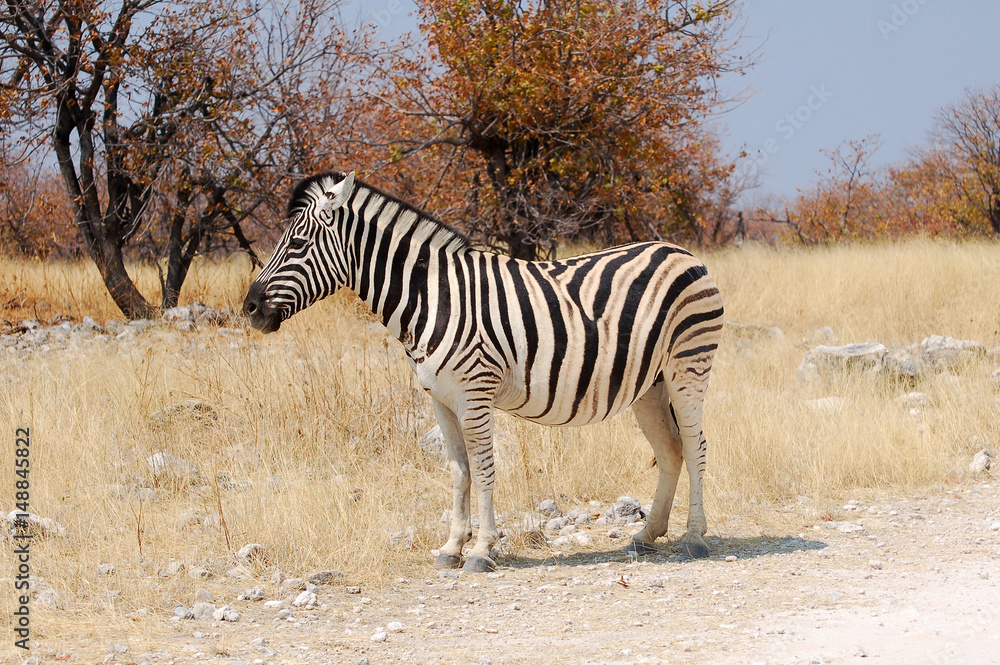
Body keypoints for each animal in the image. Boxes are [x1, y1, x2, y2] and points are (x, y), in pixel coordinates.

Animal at [243, 171, 724, 572]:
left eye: (298, 244)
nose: (248, 309)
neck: (432, 297)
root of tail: (682, 251)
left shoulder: (474, 393)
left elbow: (485, 467)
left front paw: (481, 550)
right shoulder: (440, 399)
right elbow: (460, 472)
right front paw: (451, 547)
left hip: (688, 368)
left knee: (697, 446)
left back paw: (693, 539)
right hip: (650, 385)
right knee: (672, 450)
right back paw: (646, 534)